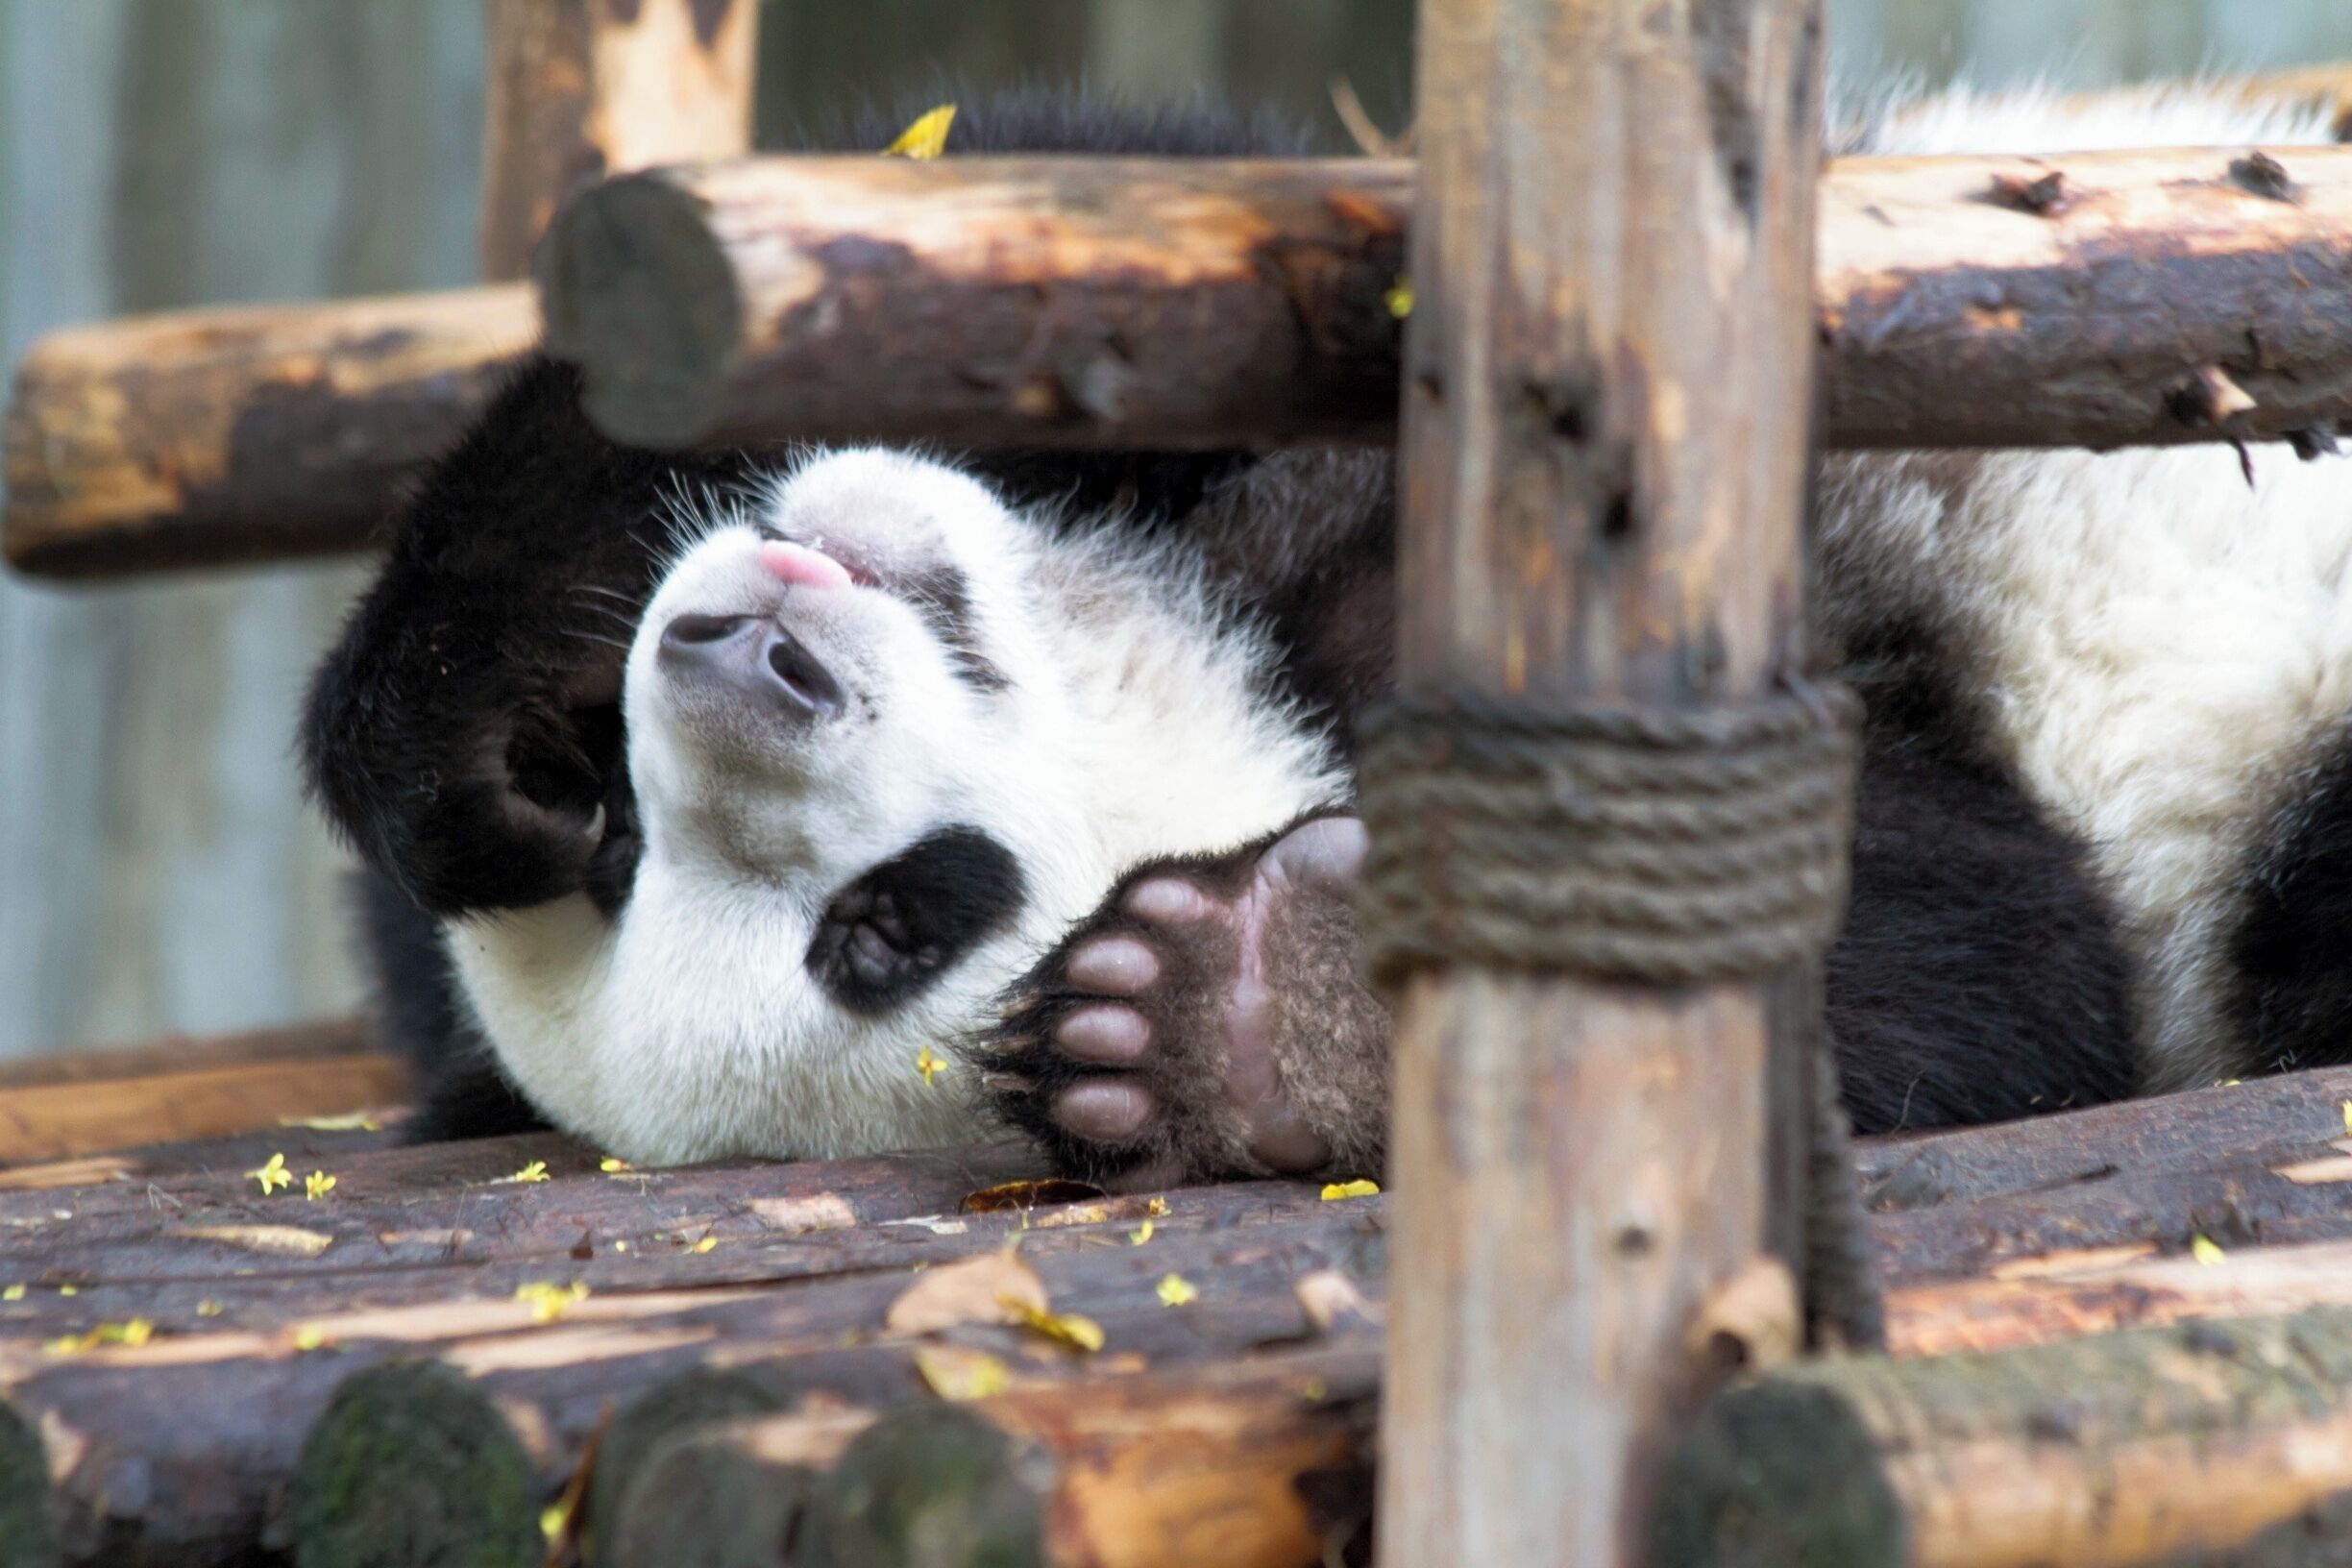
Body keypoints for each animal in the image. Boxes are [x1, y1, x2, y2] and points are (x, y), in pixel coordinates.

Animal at [303, 81, 2348, 1189]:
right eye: (887, 929)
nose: (751, 665)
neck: (1246, 635)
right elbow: (1996, 966)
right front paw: (1255, 1014)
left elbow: (1045, 198)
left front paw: (463, 735)